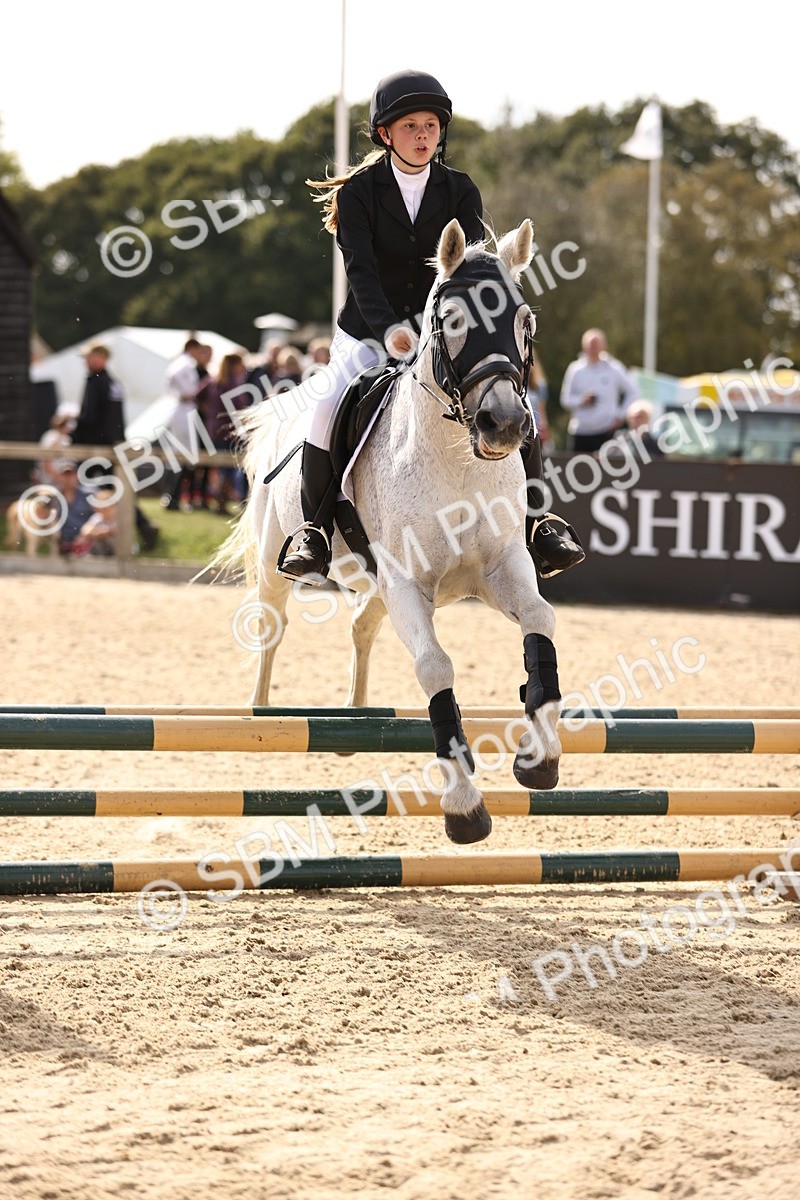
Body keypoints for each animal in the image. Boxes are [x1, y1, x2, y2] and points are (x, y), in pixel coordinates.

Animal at [215, 218, 562, 844]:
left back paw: (354, 719)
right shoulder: (407, 585)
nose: (504, 424)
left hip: (375, 587)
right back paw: (261, 713)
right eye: (453, 320)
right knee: (270, 628)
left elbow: (540, 624)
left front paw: (539, 757)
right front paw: (464, 807)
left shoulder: (502, 568)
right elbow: (435, 668)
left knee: (361, 625)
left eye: (525, 322)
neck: (457, 459)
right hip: (283, 568)